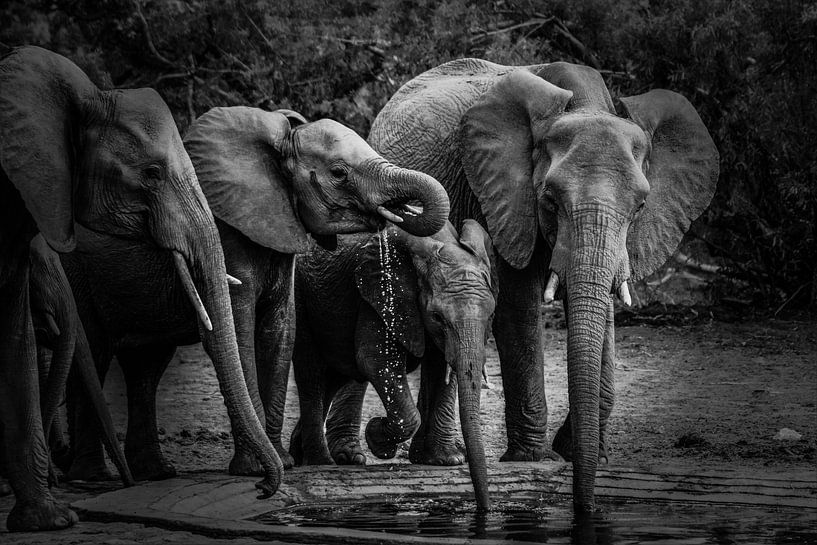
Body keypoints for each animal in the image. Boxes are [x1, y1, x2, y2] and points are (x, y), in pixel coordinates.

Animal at [0, 45, 287, 531]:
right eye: (151, 173)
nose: (264, 490)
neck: (88, 95)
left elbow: (15, 335)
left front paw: (48, 520)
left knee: (144, 365)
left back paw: (144, 474)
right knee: (103, 354)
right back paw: (94, 477)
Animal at [62, 105, 450, 483]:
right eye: (339, 173)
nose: (399, 212)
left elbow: (279, 332)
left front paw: (281, 463)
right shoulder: (227, 235)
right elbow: (238, 330)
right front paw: (255, 469)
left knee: (146, 365)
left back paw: (153, 473)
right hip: (75, 276)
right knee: (95, 354)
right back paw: (91, 477)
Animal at [289, 220, 495, 510]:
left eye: (491, 314)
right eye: (437, 317)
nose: (484, 509)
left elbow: (441, 370)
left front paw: (444, 460)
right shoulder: (382, 294)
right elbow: (373, 359)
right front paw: (377, 439)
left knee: (336, 375)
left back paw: (299, 455)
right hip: (299, 297)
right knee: (312, 373)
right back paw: (320, 462)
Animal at [368, 58, 719, 511]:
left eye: (640, 206)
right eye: (550, 199)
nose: (586, 507)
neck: (587, 105)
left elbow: (603, 309)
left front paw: (586, 453)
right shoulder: (499, 196)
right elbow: (517, 308)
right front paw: (537, 458)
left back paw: (438, 458)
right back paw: (443, 460)